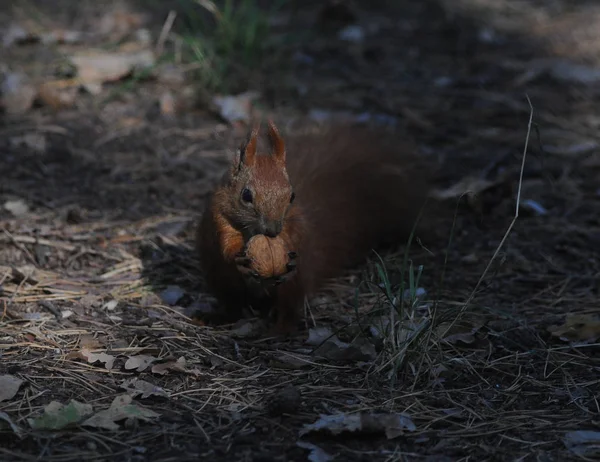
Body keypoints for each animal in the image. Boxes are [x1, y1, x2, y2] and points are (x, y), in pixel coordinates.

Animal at [197, 119, 432, 336]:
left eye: (292, 195)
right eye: (246, 195)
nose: (273, 231)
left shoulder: (295, 221)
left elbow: (296, 236)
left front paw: (290, 253)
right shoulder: (217, 216)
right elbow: (226, 242)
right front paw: (239, 257)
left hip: (294, 284)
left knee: (289, 306)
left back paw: (280, 329)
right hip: (222, 280)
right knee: (234, 305)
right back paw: (217, 317)